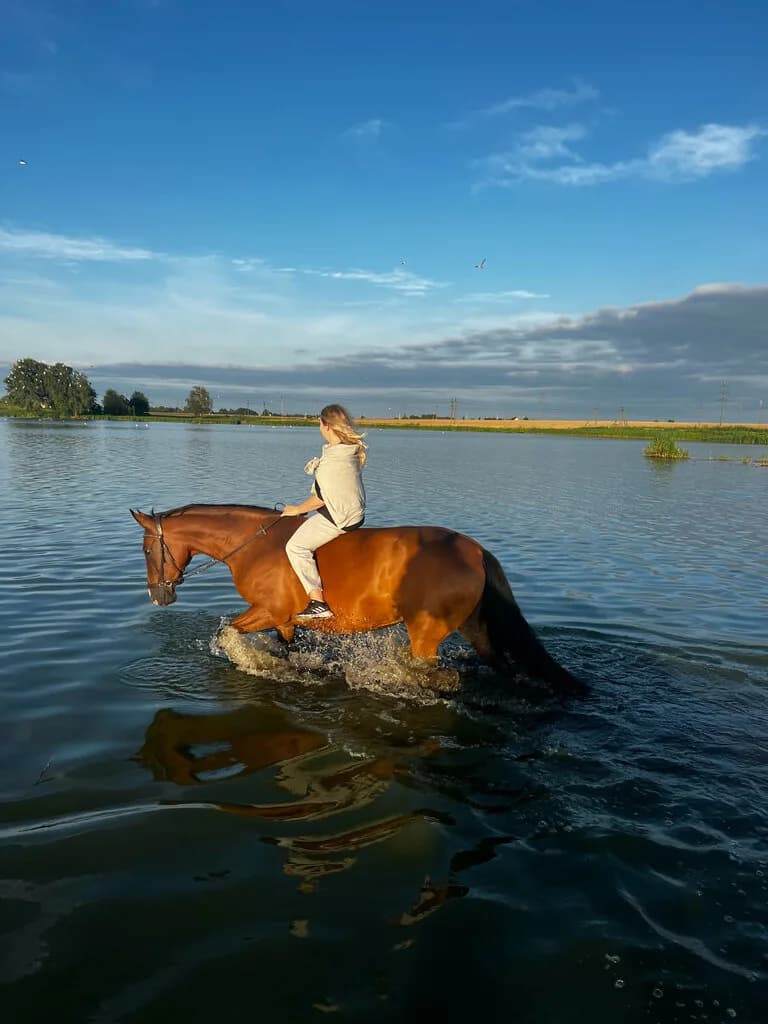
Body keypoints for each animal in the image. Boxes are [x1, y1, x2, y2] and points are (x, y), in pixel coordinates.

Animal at [130, 504, 584, 694]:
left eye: (147, 549)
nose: (157, 596)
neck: (254, 545)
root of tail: (474, 550)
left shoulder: (268, 611)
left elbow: (227, 634)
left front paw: (247, 661)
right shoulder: (284, 621)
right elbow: (289, 652)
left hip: (426, 635)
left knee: (438, 675)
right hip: (476, 628)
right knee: (501, 666)